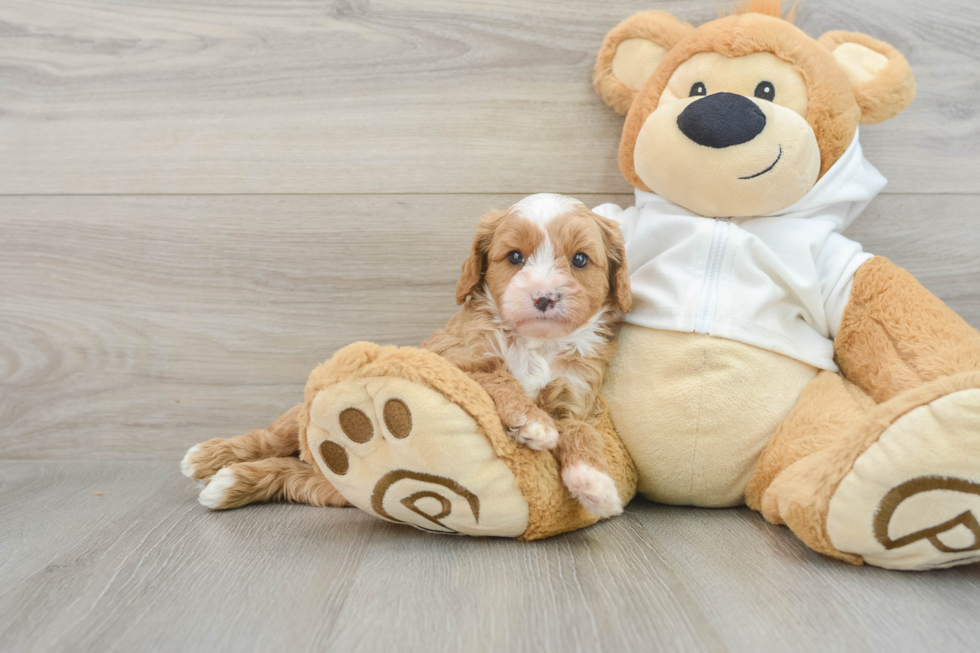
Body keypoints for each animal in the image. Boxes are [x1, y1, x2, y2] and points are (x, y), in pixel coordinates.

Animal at [424, 194, 632, 516]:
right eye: (514, 257)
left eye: (580, 259)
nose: (543, 297)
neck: (539, 343)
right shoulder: (456, 360)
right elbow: (500, 377)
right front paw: (533, 422)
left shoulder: (575, 393)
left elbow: (580, 428)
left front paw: (595, 481)